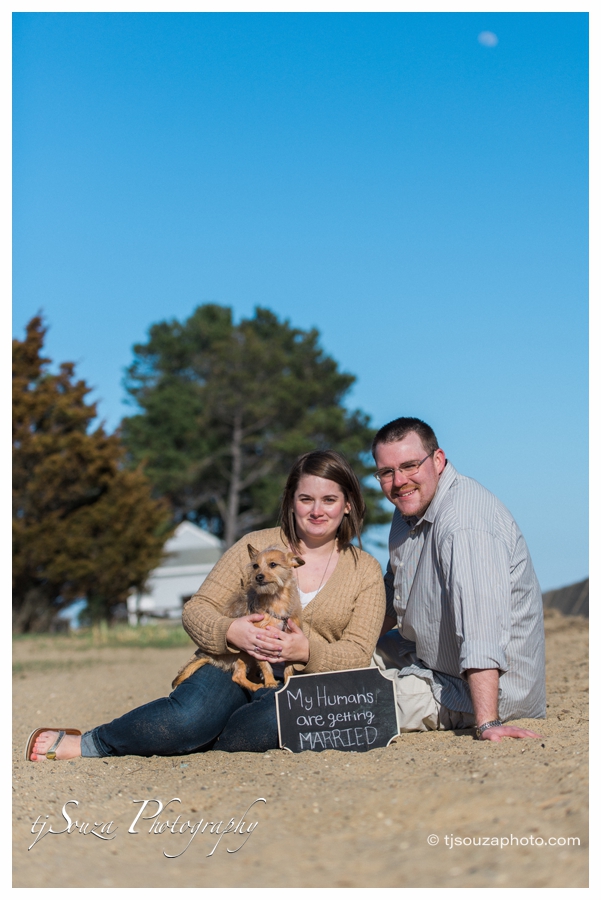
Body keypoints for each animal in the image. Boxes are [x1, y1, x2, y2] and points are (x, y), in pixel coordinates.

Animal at [172, 544, 304, 692]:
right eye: (255, 566)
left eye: (273, 564)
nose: (258, 577)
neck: (275, 599)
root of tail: (212, 657)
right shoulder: (259, 642)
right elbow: (265, 665)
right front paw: (270, 682)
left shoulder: (290, 641)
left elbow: (289, 668)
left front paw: (288, 683)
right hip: (243, 651)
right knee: (237, 676)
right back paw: (257, 686)